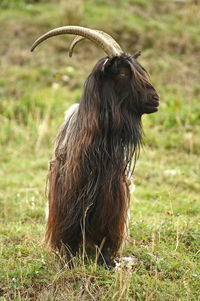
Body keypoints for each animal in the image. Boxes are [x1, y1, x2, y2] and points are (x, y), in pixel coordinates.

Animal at [31, 25, 159, 264]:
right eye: (123, 73)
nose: (155, 99)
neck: (98, 144)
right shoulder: (69, 191)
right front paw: (69, 257)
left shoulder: (112, 194)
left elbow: (106, 230)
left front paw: (105, 260)